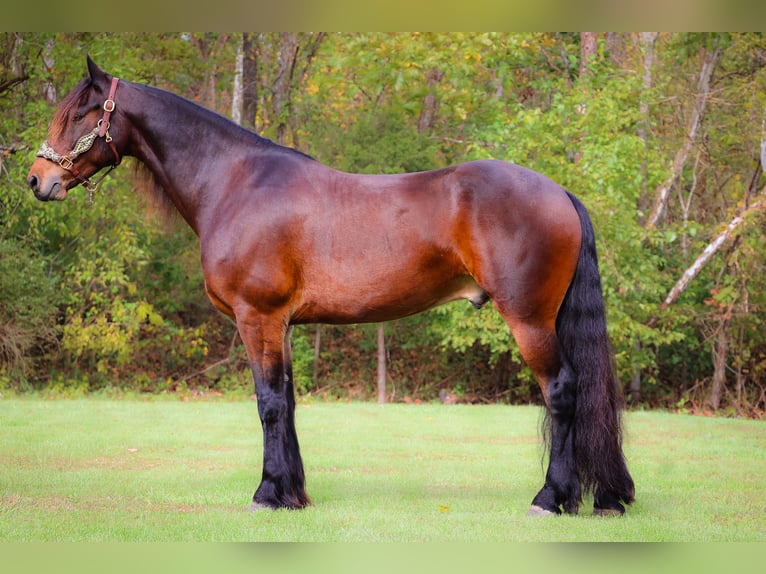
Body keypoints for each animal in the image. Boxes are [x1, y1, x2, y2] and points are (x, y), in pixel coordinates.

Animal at [28, 57, 635, 516]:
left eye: (79, 113)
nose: (38, 179)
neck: (235, 182)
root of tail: (559, 193)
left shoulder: (258, 317)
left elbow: (268, 403)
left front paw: (266, 494)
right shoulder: (282, 324)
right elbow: (288, 401)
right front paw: (293, 493)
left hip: (529, 318)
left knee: (563, 392)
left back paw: (550, 498)